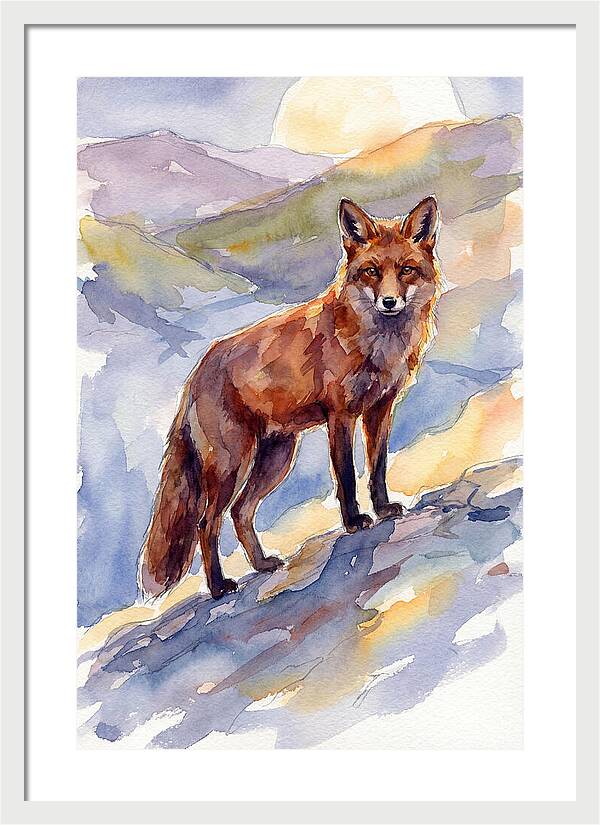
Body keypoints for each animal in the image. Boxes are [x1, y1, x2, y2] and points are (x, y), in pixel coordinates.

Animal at [139, 196, 443, 600]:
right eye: (372, 272)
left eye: (407, 270)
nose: (389, 302)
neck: (378, 344)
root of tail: (196, 373)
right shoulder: (340, 415)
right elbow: (346, 476)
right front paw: (353, 522)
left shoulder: (380, 408)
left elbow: (377, 468)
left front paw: (383, 509)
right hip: (231, 463)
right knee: (207, 522)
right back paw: (219, 587)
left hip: (276, 458)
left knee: (240, 513)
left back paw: (261, 564)